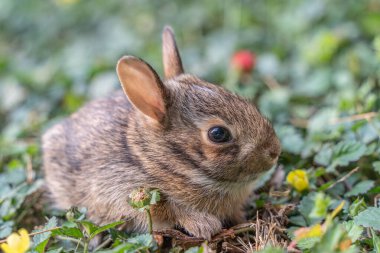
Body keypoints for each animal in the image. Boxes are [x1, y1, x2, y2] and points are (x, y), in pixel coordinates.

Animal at [42, 26, 282, 240]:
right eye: (218, 134)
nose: (274, 151)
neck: (158, 160)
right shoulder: (118, 186)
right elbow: (169, 208)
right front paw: (205, 225)